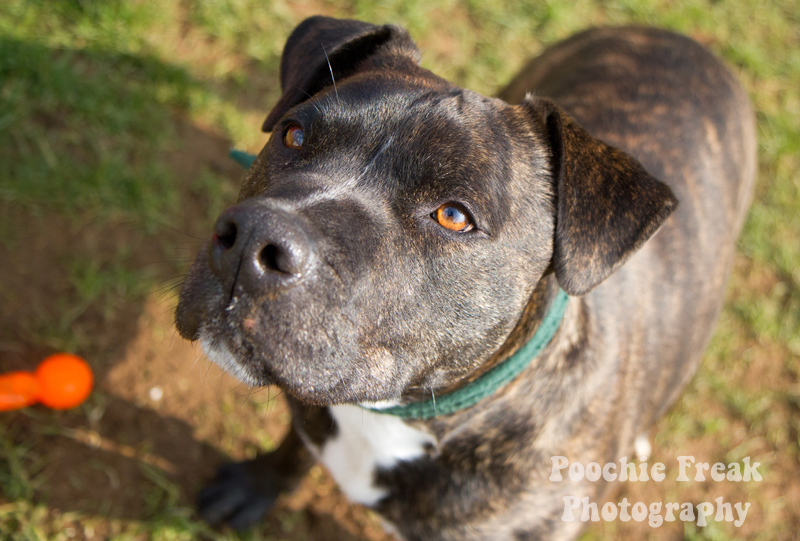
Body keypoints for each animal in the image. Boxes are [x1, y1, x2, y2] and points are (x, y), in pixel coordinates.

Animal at [175, 16, 756, 540]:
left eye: (454, 216)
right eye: (294, 135)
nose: (253, 238)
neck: (405, 418)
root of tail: (680, 40)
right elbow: (295, 448)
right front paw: (255, 486)